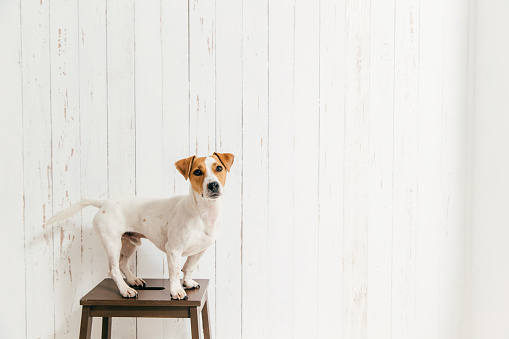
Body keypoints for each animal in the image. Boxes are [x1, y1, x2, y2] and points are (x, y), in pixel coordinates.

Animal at [45, 153, 234, 300]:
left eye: (219, 168)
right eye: (197, 172)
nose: (213, 185)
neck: (203, 213)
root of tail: (104, 203)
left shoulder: (201, 249)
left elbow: (188, 267)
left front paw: (187, 283)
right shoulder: (173, 250)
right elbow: (174, 273)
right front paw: (176, 291)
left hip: (130, 243)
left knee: (122, 264)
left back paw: (133, 280)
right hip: (113, 243)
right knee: (113, 269)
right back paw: (125, 290)